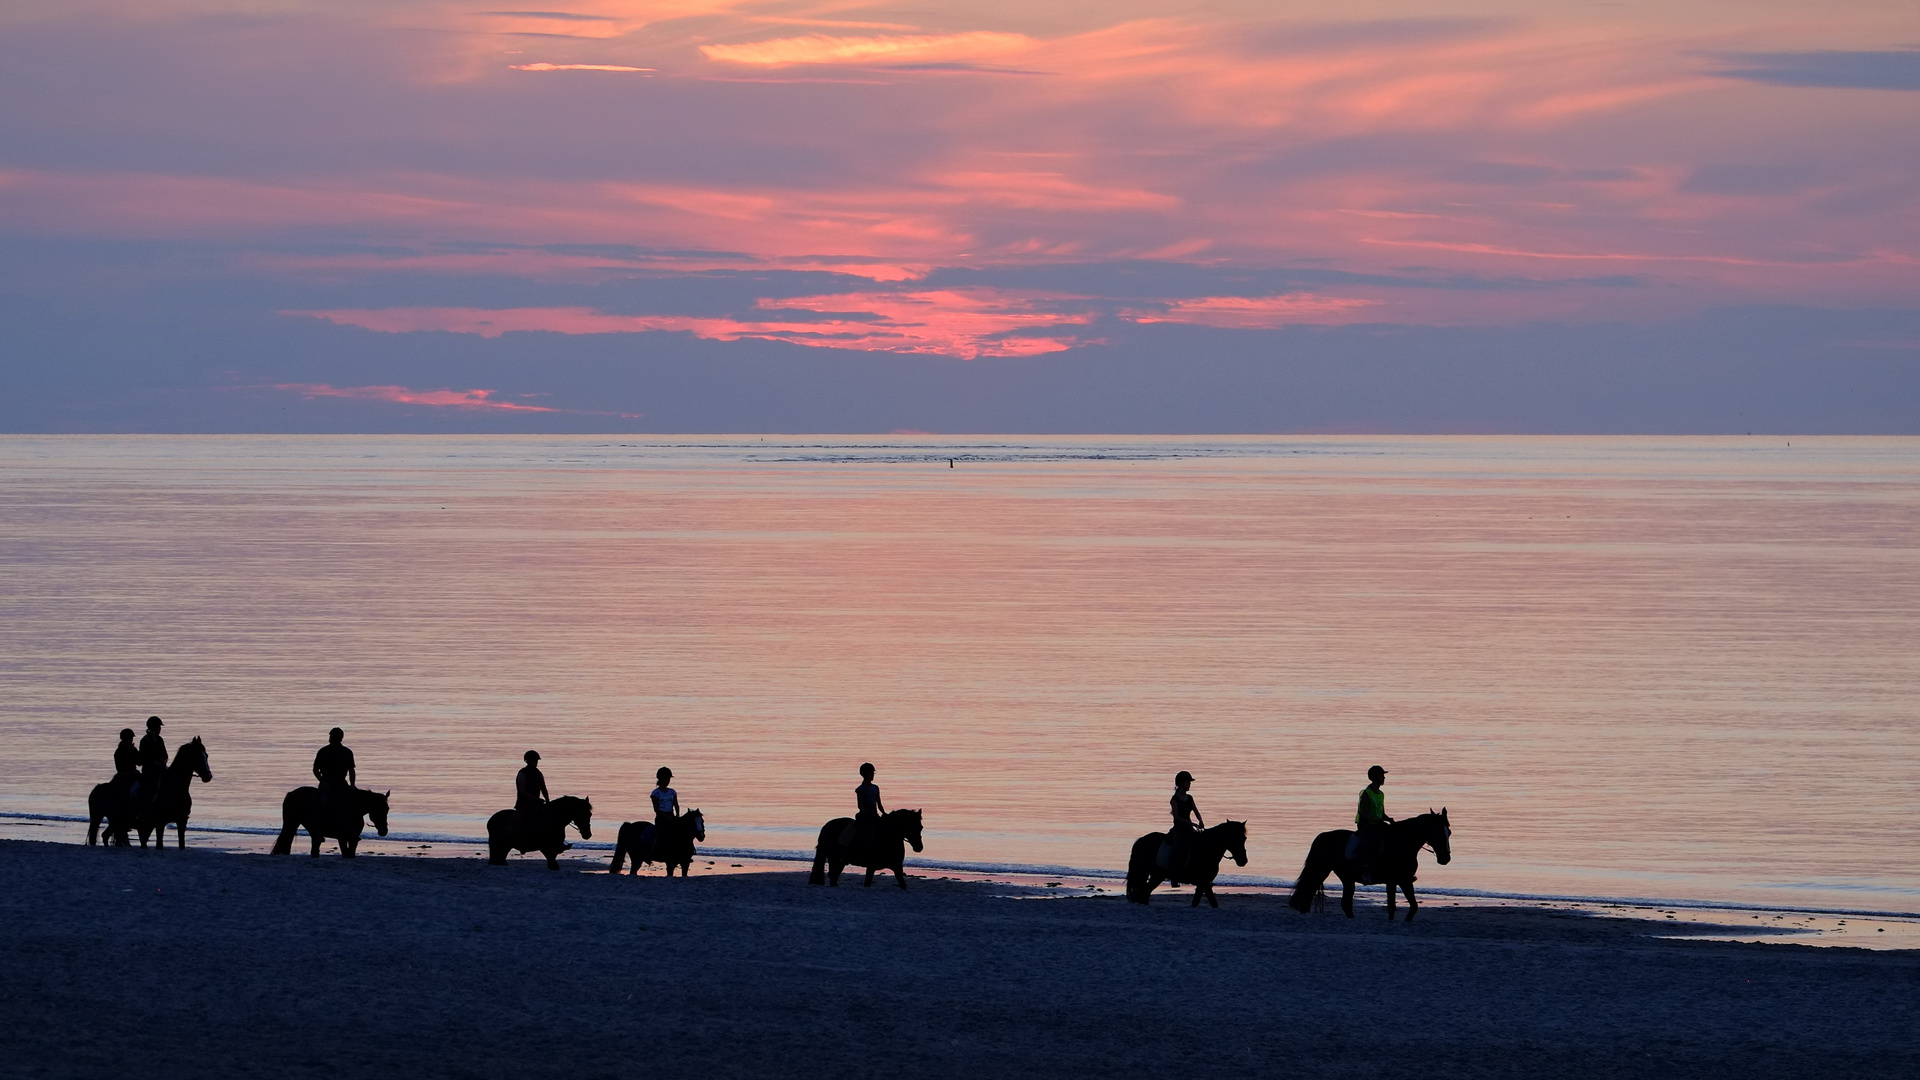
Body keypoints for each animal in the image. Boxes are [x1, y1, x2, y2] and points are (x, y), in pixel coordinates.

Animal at [1121, 818, 1251, 903]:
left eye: (1244, 838)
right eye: (1234, 838)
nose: (1243, 860)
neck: (1207, 847)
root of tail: (1141, 840)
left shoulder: (1205, 883)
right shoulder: (1203, 882)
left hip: (1156, 876)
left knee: (1145, 893)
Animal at [1290, 807, 1451, 914]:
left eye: (1448, 832)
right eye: (1438, 832)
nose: (1445, 858)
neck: (1402, 842)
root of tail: (1322, 836)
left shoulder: (1403, 880)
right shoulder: (1398, 880)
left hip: (1344, 876)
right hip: (1320, 869)